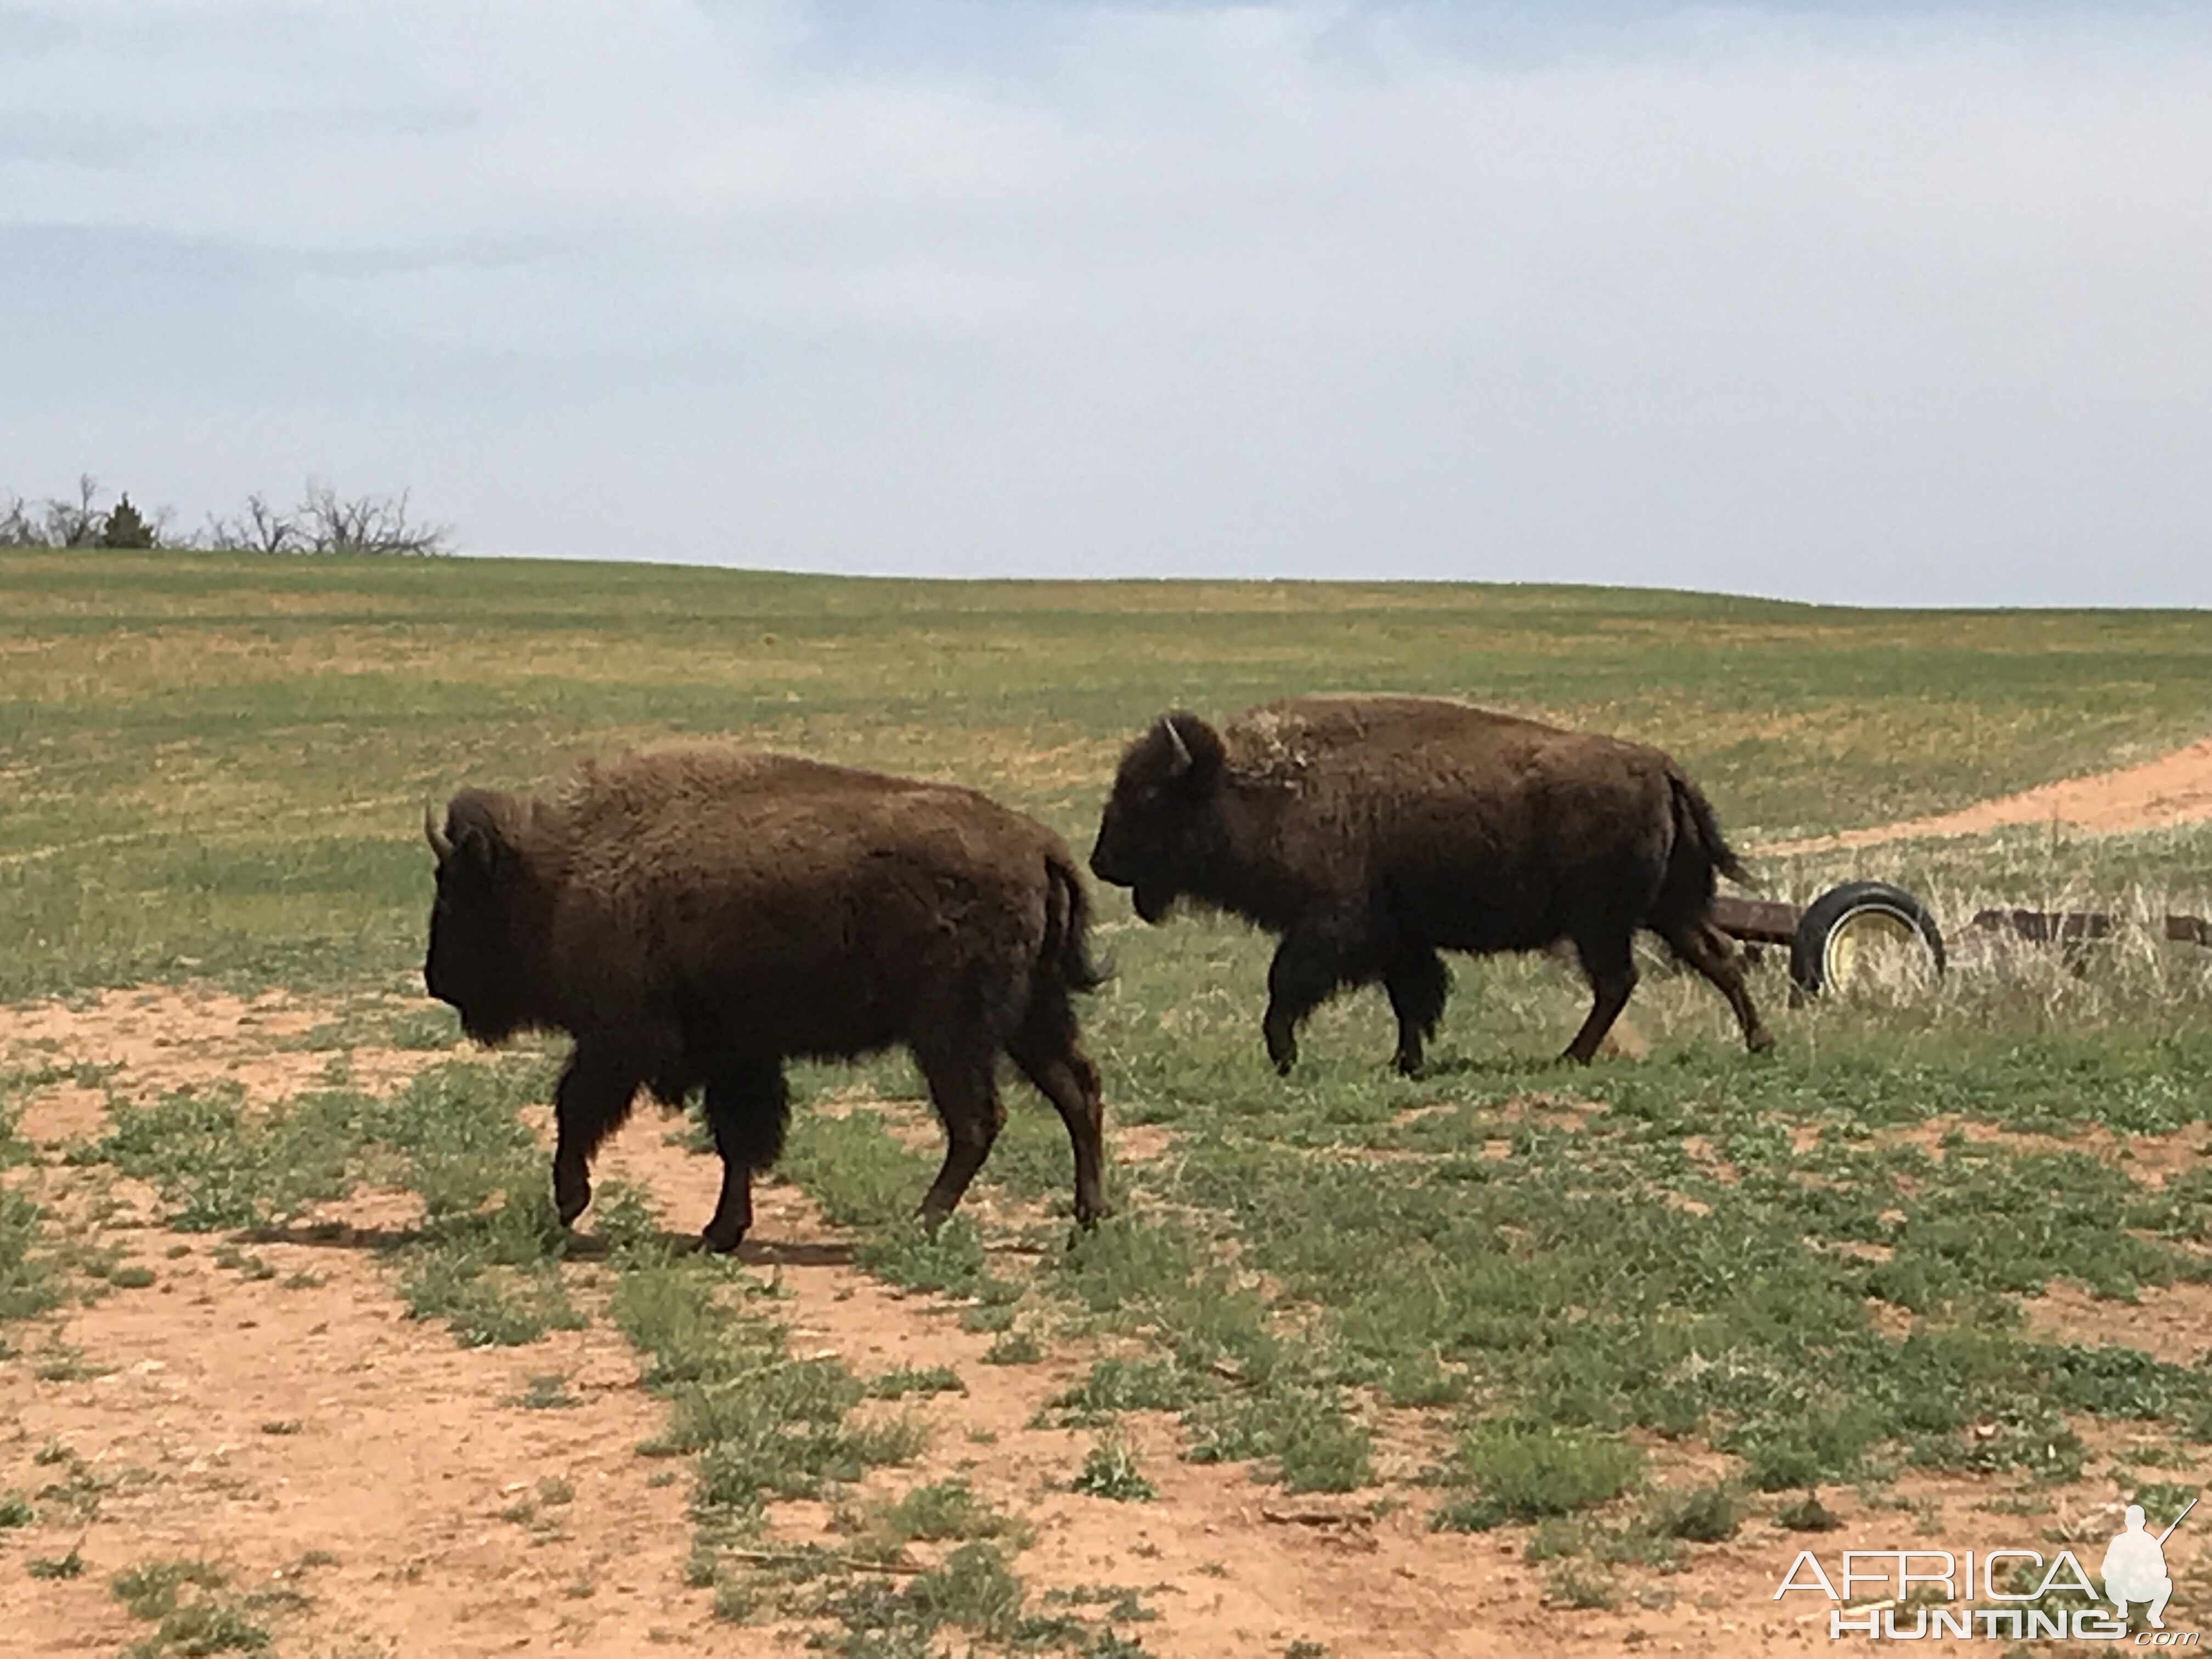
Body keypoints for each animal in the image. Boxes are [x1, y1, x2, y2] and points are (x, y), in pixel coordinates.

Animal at [418, 747, 1106, 1256]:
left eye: (455, 894)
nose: (436, 979)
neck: (563, 867)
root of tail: (1039, 845)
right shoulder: (737, 1053)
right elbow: (739, 1140)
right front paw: (721, 1232)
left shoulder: (622, 1038)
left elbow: (577, 1106)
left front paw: (571, 1201)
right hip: (1030, 1019)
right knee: (1076, 1092)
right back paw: (1088, 1218)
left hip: (951, 1034)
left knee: (978, 1121)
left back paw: (923, 1222)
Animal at [1088, 695, 1778, 1070]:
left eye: (1148, 795)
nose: (1101, 862)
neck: (1247, 784)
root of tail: (1661, 767)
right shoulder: (1400, 937)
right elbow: (1412, 998)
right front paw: (1405, 1062)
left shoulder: (1332, 926)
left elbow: (1286, 987)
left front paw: (1284, 1055)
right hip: (1666, 909)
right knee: (1716, 958)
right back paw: (1760, 1042)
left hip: (1602, 921)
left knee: (1619, 981)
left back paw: (1570, 1056)